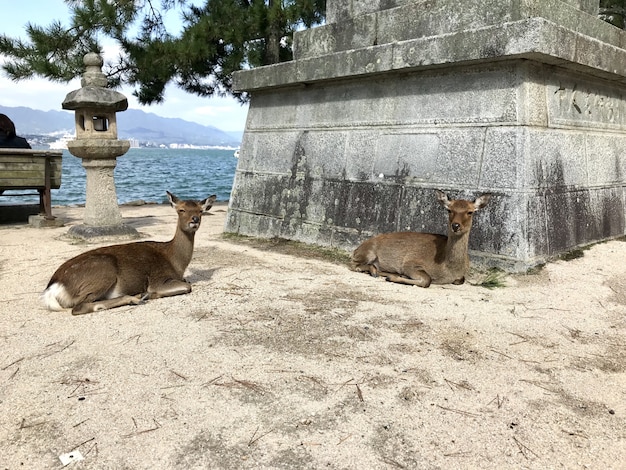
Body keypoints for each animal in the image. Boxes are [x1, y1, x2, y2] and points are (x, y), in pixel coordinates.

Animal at [41, 191, 216, 316]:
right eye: (181, 210)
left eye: (200, 211)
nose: (194, 219)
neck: (176, 262)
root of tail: (53, 287)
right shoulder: (158, 279)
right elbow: (187, 286)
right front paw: (149, 293)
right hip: (103, 271)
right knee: (79, 307)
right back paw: (136, 297)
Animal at [352, 190, 488, 286]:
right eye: (449, 210)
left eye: (470, 212)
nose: (455, 225)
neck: (448, 268)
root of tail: (356, 249)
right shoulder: (410, 263)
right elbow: (427, 280)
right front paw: (393, 277)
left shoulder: (459, 276)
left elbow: (461, 280)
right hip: (368, 253)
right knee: (355, 264)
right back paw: (375, 271)